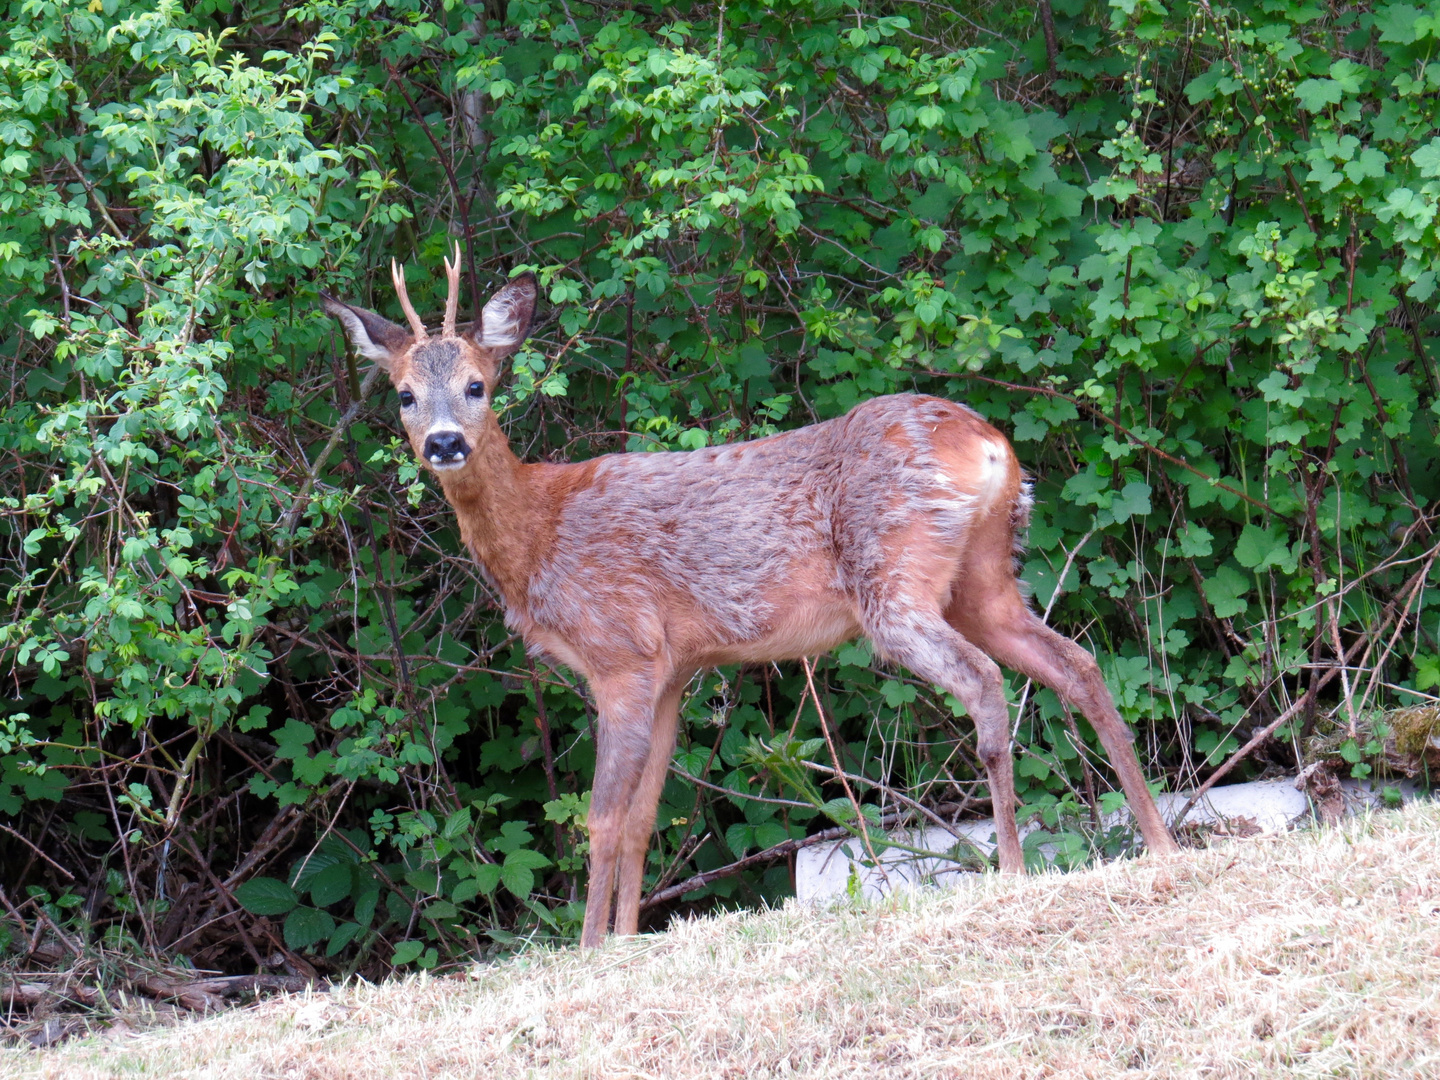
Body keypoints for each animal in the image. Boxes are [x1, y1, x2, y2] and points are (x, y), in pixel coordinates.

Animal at [326, 253, 1180, 944]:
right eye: (403, 395)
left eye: (477, 385)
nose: (444, 443)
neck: (539, 533)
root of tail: (990, 443)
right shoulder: (674, 670)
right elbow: (645, 817)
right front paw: (629, 942)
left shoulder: (621, 652)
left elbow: (602, 816)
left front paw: (590, 950)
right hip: (983, 578)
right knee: (1077, 663)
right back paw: (1159, 840)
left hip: (893, 577)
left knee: (984, 680)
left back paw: (1011, 865)